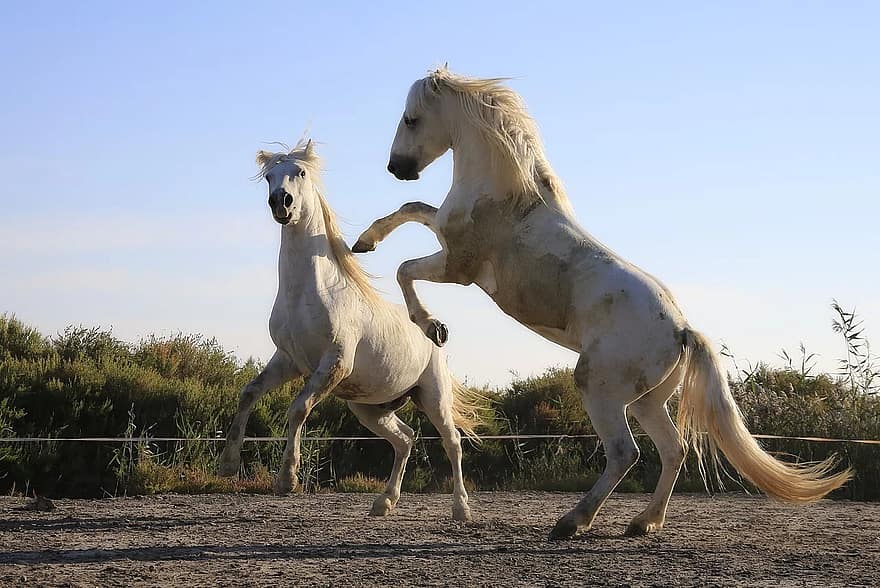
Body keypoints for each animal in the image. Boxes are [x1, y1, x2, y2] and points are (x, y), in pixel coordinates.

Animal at [219, 140, 482, 520]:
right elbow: (249, 393)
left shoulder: (333, 363)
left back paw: (460, 509)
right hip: (370, 408)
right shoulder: (288, 360)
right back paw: (383, 503)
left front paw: (287, 480)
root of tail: (435, 339)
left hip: (433, 396)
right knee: (405, 439)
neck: (307, 293)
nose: (281, 203)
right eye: (269, 177)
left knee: (452, 443)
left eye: (299, 172)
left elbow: (297, 409)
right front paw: (227, 464)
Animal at [352, 68, 852, 536]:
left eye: (411, 118)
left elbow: (406, 266)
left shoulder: (459, 267)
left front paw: (431, 325)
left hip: (599, 386)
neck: (507, 196)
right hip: (648, 401)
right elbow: (412, 210)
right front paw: (364, 243)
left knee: (625, 453)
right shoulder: (446, 238)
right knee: (673, 450)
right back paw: (643, 523)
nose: (397, 167)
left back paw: (573, 522)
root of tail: (681, 330)